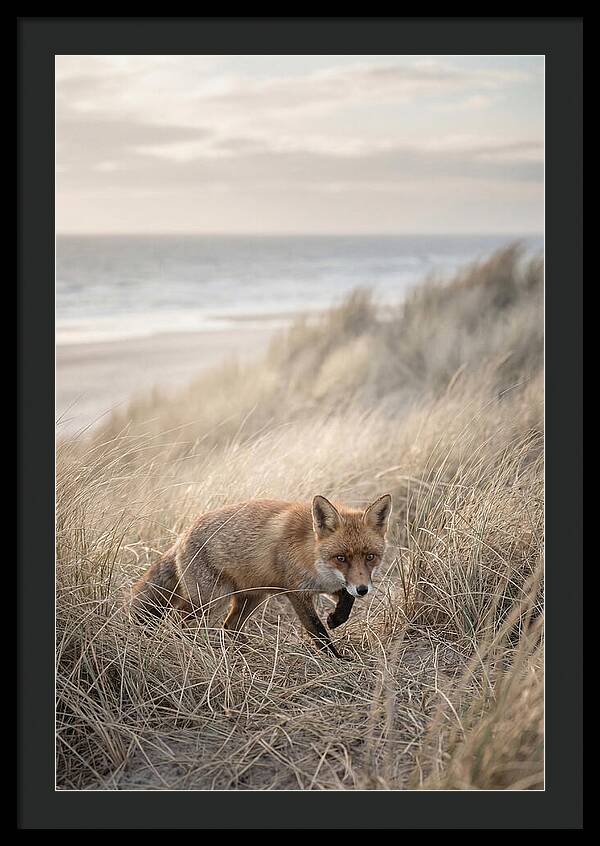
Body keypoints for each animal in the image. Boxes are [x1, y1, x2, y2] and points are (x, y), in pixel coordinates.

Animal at [130, 493, 392, 659]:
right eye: (341, 558)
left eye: (370, 556)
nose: (363, 590)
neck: (312, 554)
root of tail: (182, 535)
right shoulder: (296, 592)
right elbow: (317, 630)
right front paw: (336, 659)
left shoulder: (332, 585)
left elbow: (346, 601)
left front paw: (336, 619)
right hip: (212, 601)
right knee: (178, 620)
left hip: (252, 597)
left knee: (230, 625)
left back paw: (245, 652)